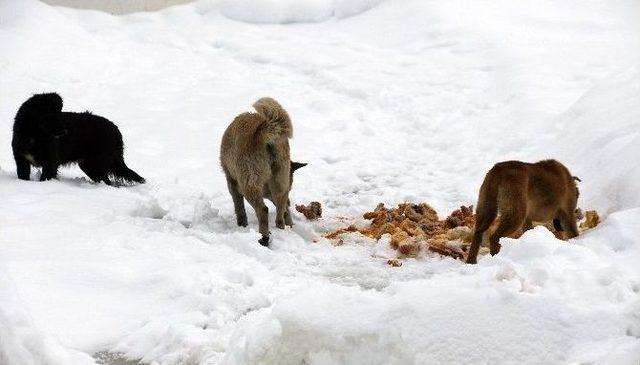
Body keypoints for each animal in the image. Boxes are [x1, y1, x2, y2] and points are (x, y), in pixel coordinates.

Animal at [12, 93, 145, 185]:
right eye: (49, 116)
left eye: (59, 114)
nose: (65, 131)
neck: (35, 136)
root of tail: (117, 131)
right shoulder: (21, 160)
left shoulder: (51, 163)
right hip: (89, 165)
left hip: (99, 163)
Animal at [220, 96, 304, 246]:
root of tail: (262, 130)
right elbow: (285, 209)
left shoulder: (231, 181)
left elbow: (239, 206)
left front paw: (242, 225)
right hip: (280, 179)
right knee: (280, 210)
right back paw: (280, 227)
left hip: (249, 182)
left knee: (263, 210)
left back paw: (263, 237)